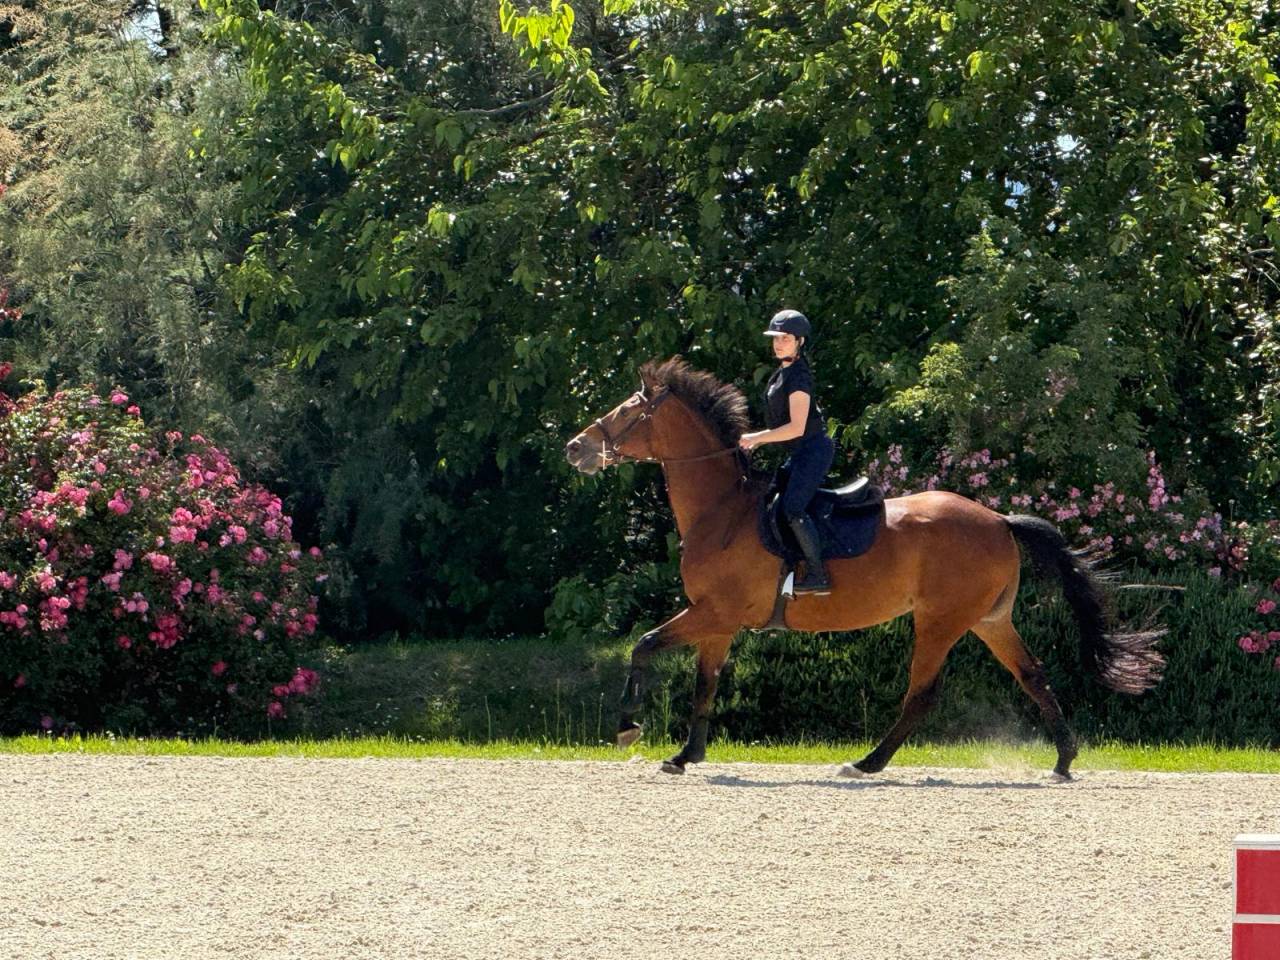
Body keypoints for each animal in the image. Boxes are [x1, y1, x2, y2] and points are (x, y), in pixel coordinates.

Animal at [564, 357, 1164, 781]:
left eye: (627, 411)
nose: (575, 448)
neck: (722, 510)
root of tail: (997, 519)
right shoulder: (717, 622)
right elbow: (704, 685)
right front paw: (686, 754)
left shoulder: (713, 613)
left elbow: (643, 645)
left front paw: (628, 727)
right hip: (989, 619)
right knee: (1032, 674)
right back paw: (1063, 760)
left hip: (940, 621)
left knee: (922, 693)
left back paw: (866, 763)